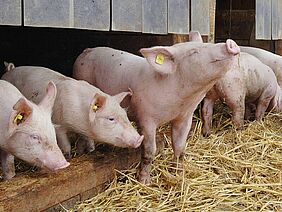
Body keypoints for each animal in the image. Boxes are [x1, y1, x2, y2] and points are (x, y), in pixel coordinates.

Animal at [1, 63, 143, 158]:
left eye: (125, 115)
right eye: (111, 118)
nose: (139, 139)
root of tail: (9, 72)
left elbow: (85, 139)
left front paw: (89, 150)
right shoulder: (58, 125)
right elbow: (65, 144)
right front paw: (69, 156)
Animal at [72, 39, 240, 184]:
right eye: (193, 52)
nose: (230, 43)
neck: (179, 102)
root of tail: (86, 50)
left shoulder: (184, 117)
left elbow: (180, 147)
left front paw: (178, 174)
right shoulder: (146, 117)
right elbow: (149, 151)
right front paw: (144, 182)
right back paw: (87, 151)